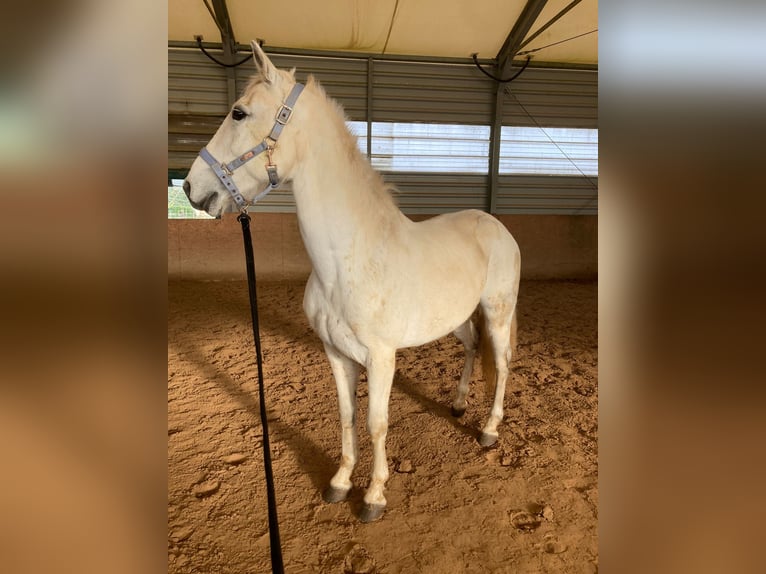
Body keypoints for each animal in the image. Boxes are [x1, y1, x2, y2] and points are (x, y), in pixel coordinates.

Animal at [185, 42, 520, 524]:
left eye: (238, 112)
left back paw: (490, 430)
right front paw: (341, 482)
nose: (191, 188)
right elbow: (346, 417)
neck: (349, 260)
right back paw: (457, 405)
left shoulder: (381, 359)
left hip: (497, 313)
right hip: (458, 318)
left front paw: (374, 496)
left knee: (503, 363)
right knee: (474, 349)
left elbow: (376, 424)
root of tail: (497, 226)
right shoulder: (337, 354)